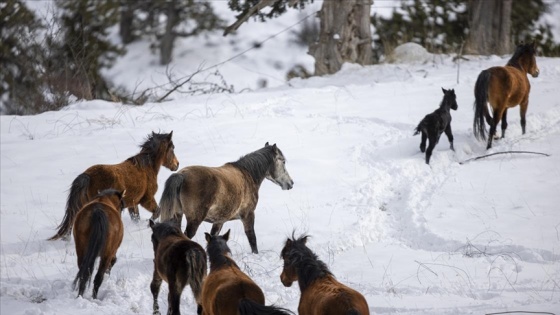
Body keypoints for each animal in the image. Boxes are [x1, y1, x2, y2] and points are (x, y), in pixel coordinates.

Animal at [50, 132, 178, 241]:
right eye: (172, 148)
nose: (177, 165)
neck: (146, 168)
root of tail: (87, 176)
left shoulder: (133, 203)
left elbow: (136, 218)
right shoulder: (146, 199)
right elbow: (157, 212)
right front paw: (148, 224)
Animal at [159, 143, 294, 254]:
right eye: (283, 162)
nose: (291, 183)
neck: (247, 174)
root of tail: (181, 175)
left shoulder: (219, 221)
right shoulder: (248, 215)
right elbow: (252, 238)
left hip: (178, 215)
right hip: (194, 221)